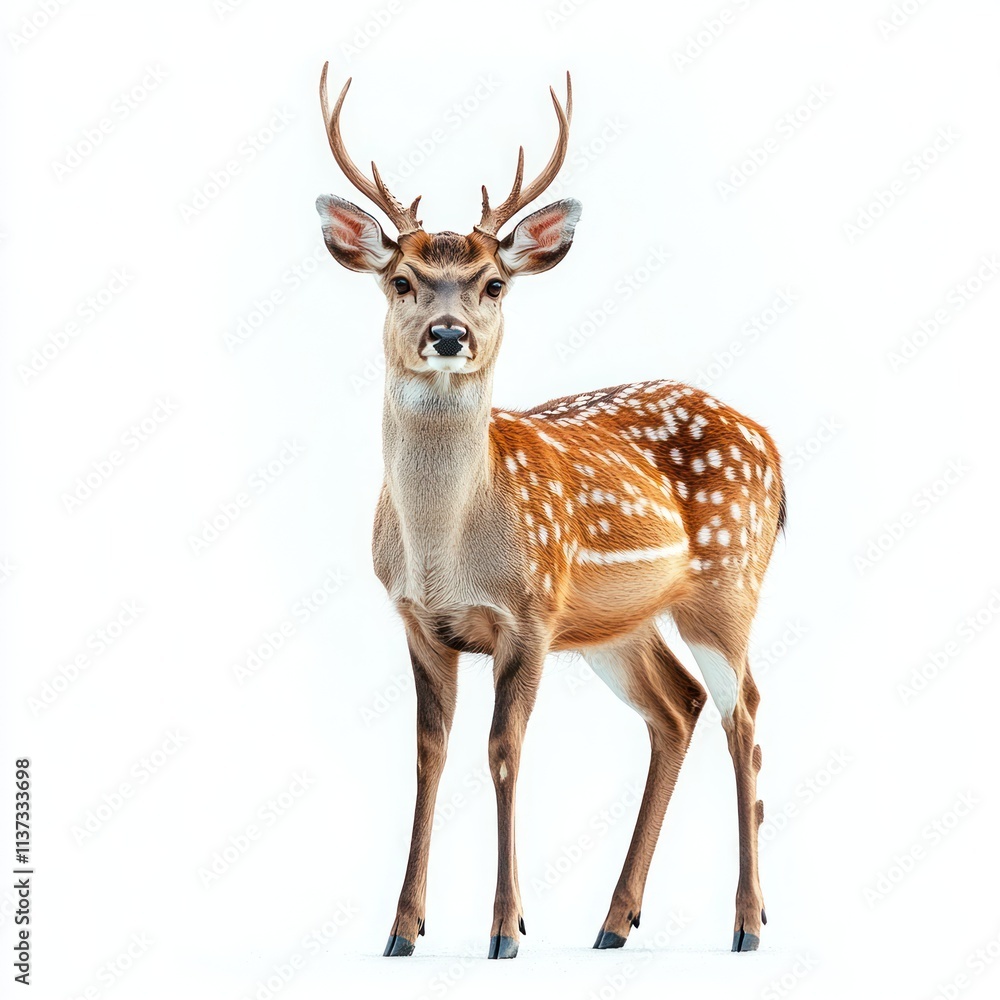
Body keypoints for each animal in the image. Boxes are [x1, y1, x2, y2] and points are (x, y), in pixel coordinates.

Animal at [315, 63, 785, 960]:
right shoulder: (416, 620)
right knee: (679, 709)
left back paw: (747, 924)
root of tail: (774, 450)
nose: (449, 334)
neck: (446, 549)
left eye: (494, 283)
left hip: (727, 585)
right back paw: (613, 923)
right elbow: (428, 753)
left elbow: (504, 750)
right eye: (401, 280)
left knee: (744, 713)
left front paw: (506, 929)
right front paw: (402, 930)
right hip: (619, 625)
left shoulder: (530, 611)